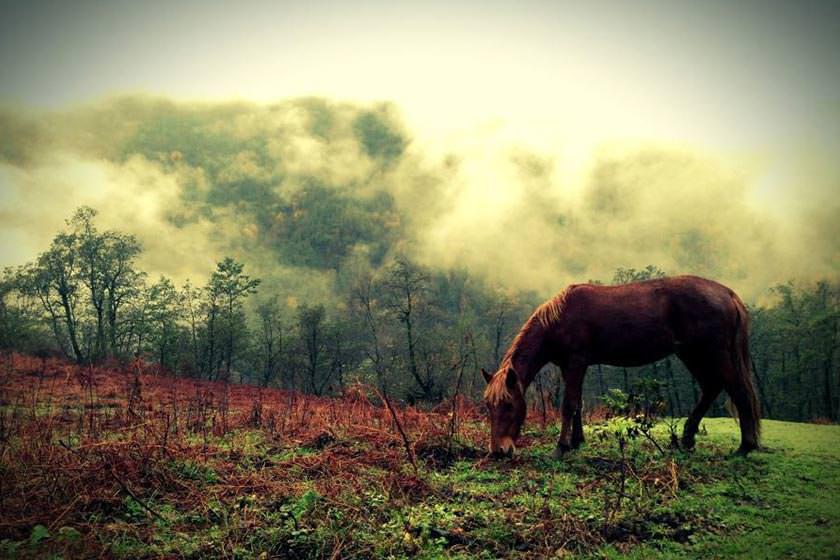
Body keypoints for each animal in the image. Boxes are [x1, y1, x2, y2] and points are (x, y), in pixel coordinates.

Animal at [480, 274, 760, 458]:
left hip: (712, 354)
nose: (498, 451)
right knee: (711, 387)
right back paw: (688, 439)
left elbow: (568, 405)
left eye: (508, 405)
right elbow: (578, 404)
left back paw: (744, 447)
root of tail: (728, 294)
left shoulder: (576, 363)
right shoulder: (570, 367)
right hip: (691, 354)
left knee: (737, 391)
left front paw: (561, 448)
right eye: (489, 406)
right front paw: (577, 441)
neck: (558, 319)